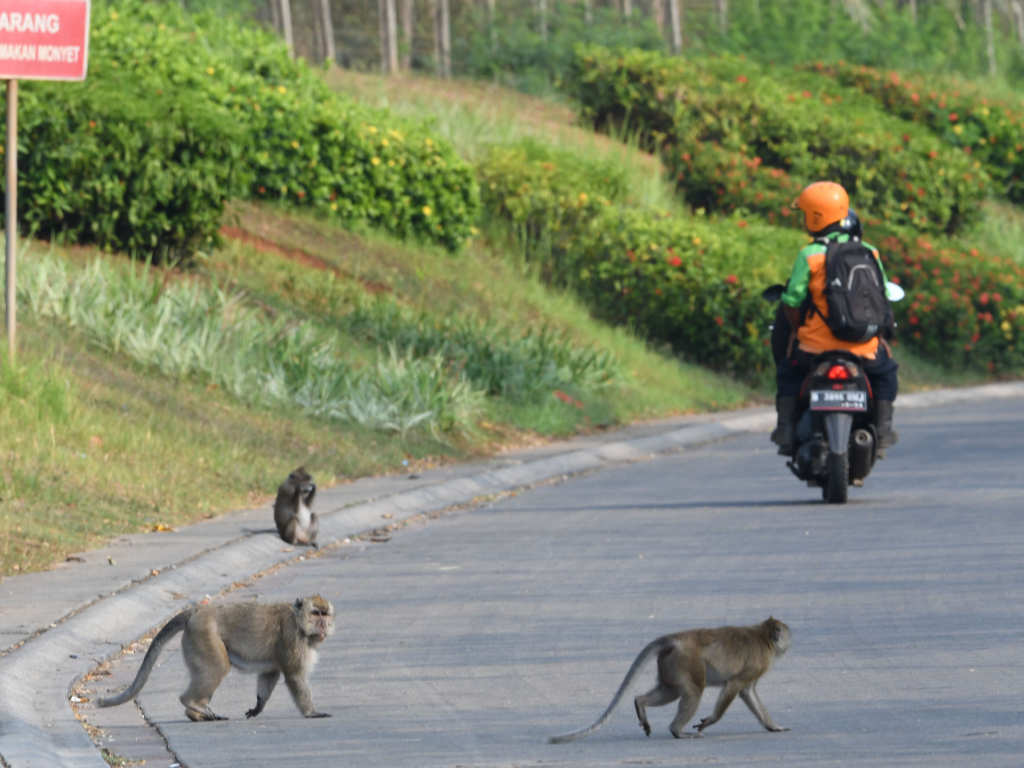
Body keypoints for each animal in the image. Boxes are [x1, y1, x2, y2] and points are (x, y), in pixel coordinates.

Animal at [98, 593, 333, 720]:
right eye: (316, 614)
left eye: (325, 614)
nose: (324, 624)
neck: (300, 623)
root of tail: (196, 612)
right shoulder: (293, 637)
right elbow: (294, 676)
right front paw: (311, 711)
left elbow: (269, 674)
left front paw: (258, 706)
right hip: (203, 636)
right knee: (219, 667)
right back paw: (191, 702)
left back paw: (195, 715)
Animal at [548, 618, 786, 741]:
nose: (787, 638)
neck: (763, 637)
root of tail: (676, 638)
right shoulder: (757, 663)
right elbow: (736, 686)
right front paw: (709, 721)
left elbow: (747, 692)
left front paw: (773, 726)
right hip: (687, 662)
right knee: (694, 691)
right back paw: (677, 731)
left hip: (670, 663)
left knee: (670, 691)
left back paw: (640, 703)